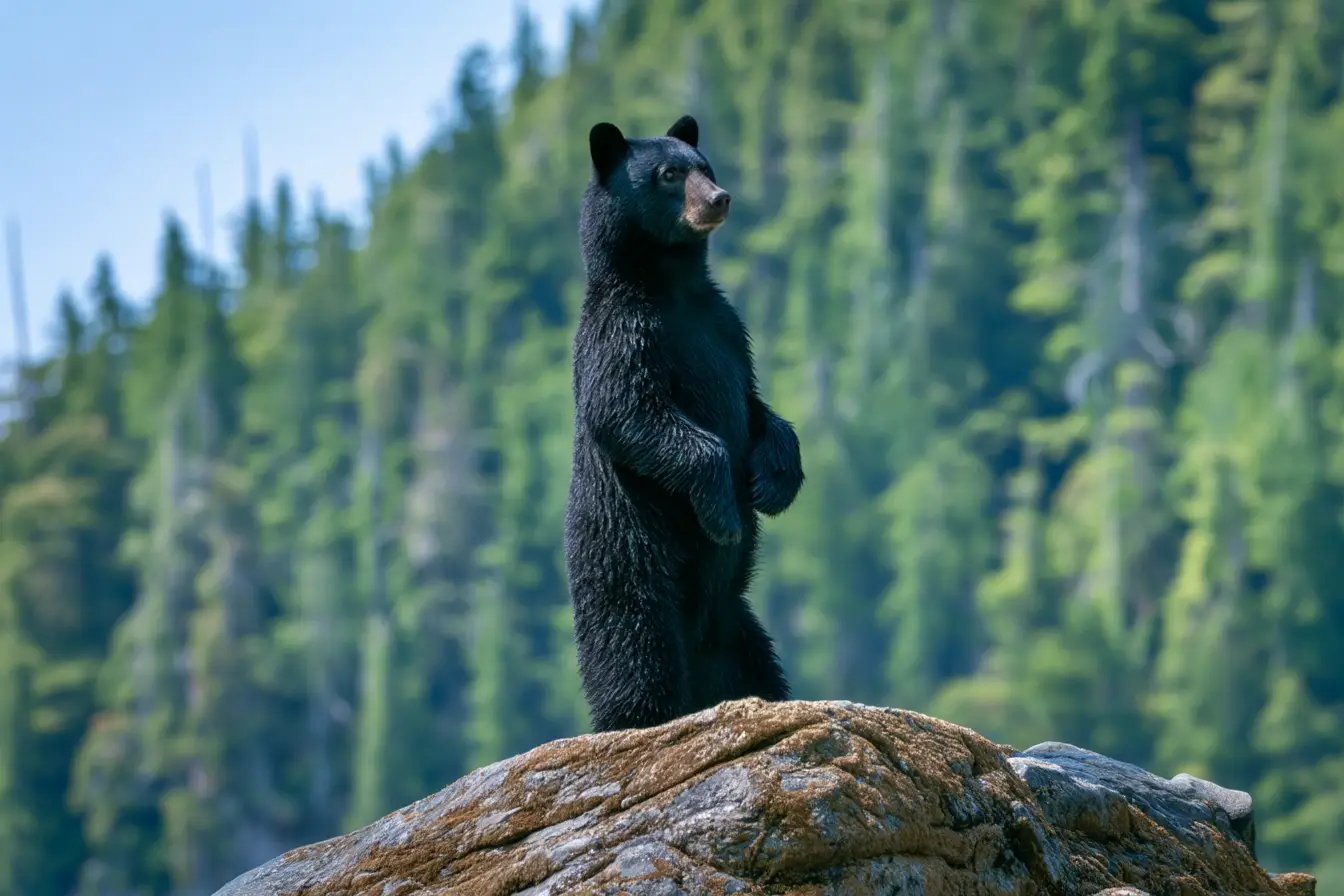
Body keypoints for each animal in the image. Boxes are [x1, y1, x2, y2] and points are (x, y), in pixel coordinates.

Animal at [563, 114, 804, 733]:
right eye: (670, 175)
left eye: (706, 167)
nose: (720, 198)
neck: (672, 286)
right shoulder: (622, 332)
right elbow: (632, 413)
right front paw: (722, 512)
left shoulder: (725, 328)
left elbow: (755, 405)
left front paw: (773, 481)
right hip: (629, 563)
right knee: (634, 653)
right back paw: (636, 719)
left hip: (735, 620)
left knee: (752, 661)